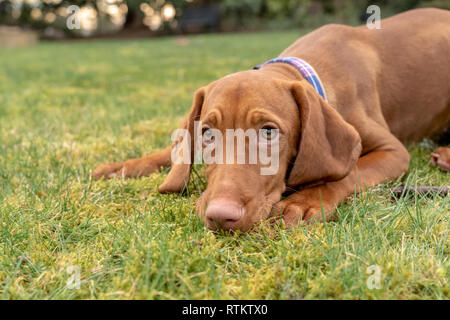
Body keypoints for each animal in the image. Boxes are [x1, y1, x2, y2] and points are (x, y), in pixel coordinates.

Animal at [92, 7, 450, 231]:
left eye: (268, 132)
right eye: (207, 135)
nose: (221, 217)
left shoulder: (393, 152)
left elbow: (348, 174)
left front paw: (303, 203)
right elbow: (172, 151)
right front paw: (120, 167)